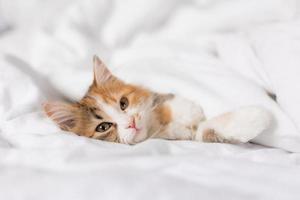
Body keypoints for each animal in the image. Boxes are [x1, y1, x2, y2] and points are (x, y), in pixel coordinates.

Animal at [44, 55, 272, 145]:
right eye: (103, 127)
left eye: (123, 104)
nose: (130, 123)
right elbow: (206, 130)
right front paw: (258, 116)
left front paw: (189, 111)